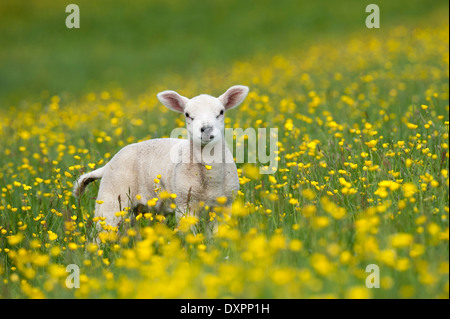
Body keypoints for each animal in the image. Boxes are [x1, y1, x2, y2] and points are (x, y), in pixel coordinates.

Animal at [74, 85, 250, 235]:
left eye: (221, 112)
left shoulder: (224, 206)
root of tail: (109, 163)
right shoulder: (184, 205)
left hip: (137, 209)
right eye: (187, 115)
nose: (206, 130)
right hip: (111, 199)